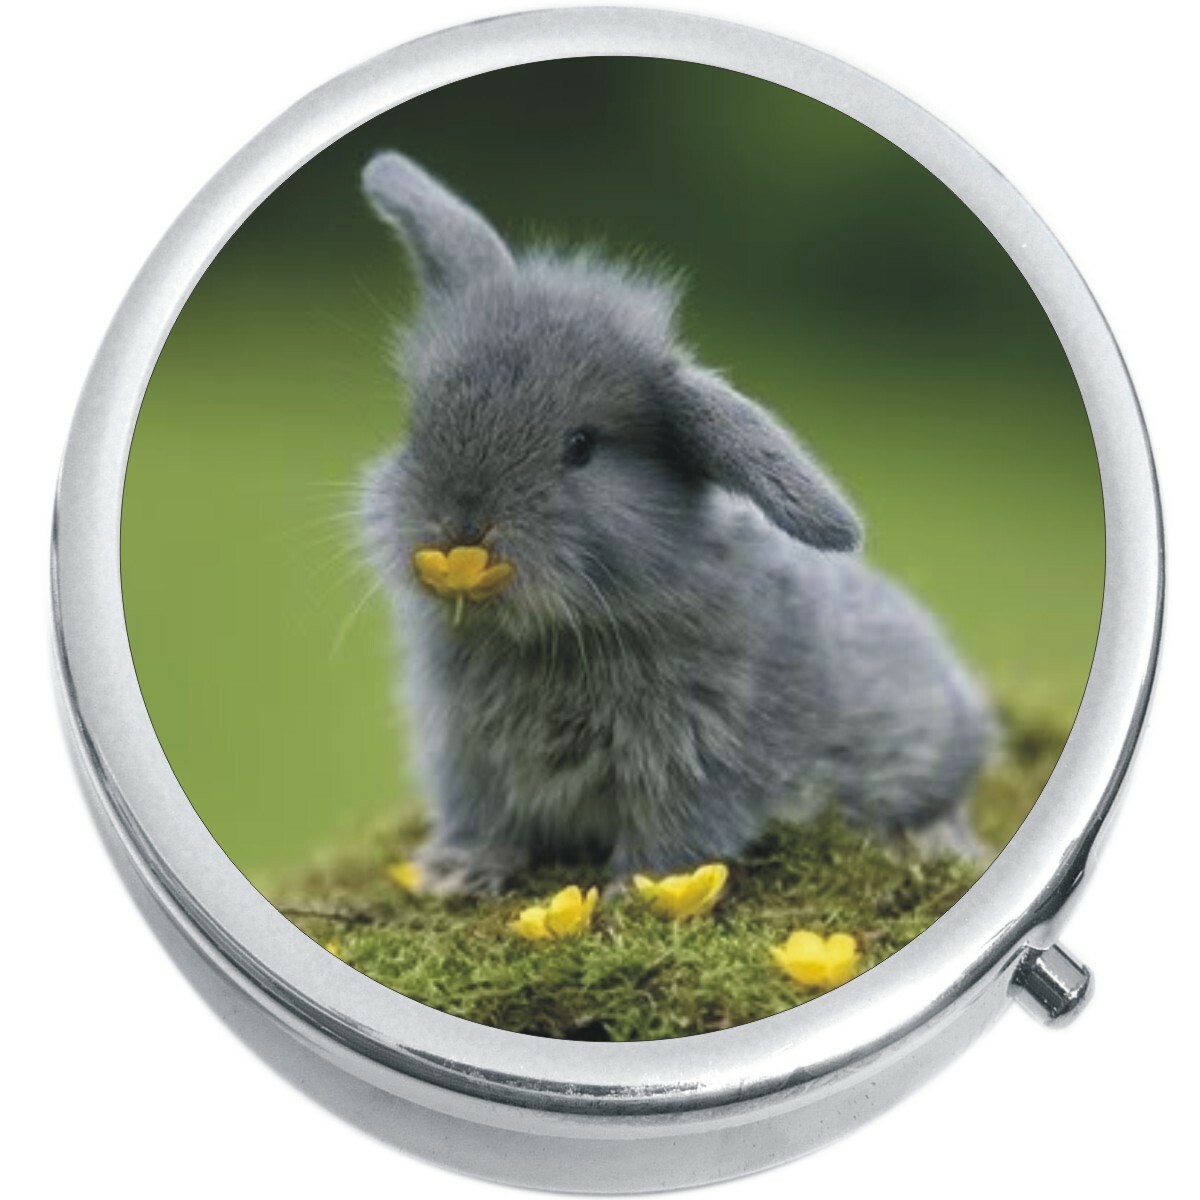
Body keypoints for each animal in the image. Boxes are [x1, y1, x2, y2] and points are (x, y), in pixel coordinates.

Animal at [359, 152, 994, 895]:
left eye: (581, 446)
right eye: (417, 425)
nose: (459, 525)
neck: (555, 636)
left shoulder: (696, 759)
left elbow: (674, 834)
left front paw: (633, 894)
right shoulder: (468, 758)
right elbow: (488, 819)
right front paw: (454, 871)